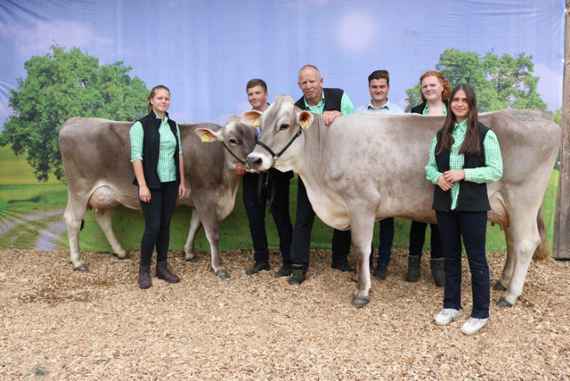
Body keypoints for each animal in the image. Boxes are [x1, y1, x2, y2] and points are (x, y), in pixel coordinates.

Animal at [58, 116, 254, 276]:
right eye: (233, 140)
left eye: (256, 138)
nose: (255, 160)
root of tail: (74, 121)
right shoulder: (204, 195)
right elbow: (212, 233)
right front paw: (218, 267)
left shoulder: (199, 200)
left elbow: (194, 225)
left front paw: (188, 252)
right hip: (80, 188)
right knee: (73, 220)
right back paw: (78, 262)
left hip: (105, 194)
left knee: (103, 219)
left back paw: (120, 251)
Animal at [245, 96, 560, 308]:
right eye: (260, 125)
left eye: (284, 125)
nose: (254, 159)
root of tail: (544, 120)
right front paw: (358, 279)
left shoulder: (362, 202)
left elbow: (361, 247)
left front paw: (362, 291)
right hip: (507, 207)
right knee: (512, 241)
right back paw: (502, 282)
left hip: (523, 198)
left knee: (525, 242)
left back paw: (510, 295)